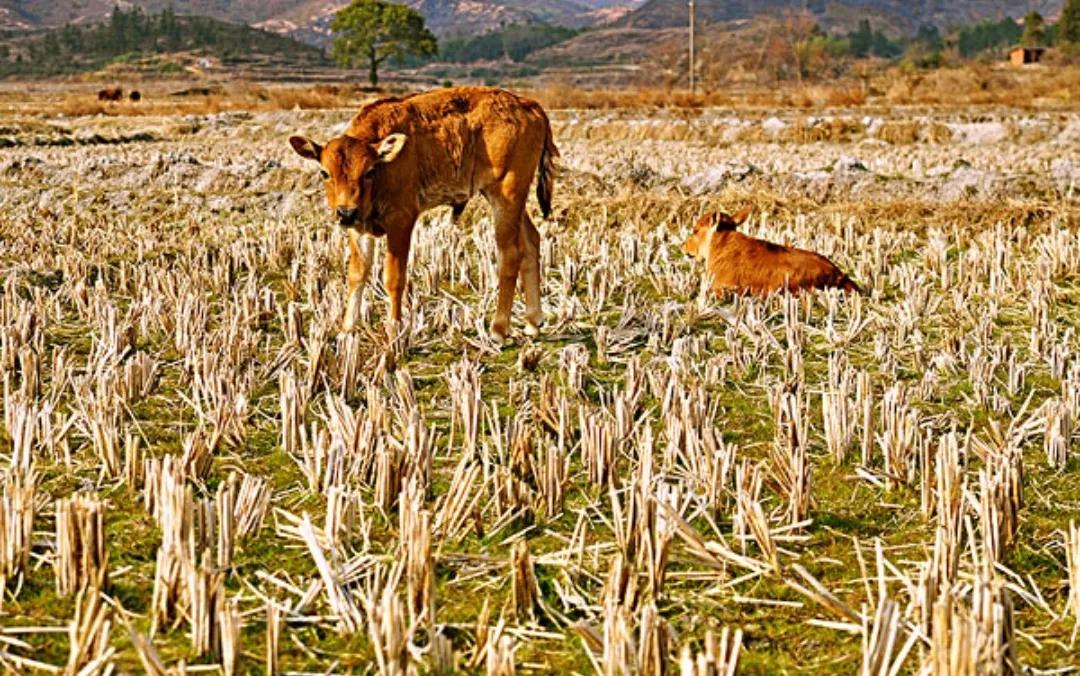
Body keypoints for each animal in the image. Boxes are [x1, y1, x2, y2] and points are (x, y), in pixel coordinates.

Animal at [287, 86, 557, 339]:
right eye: (324, 173)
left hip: (506, 195)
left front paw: (394, 331)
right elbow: (357, 274)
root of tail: (527, 105)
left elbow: (394, 279)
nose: (345, 213)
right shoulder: (359, 227)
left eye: (369, 171)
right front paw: (347, 330)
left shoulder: (401, 221)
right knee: (531, 241)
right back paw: (533, 321)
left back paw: (499, 328)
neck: (386, 164)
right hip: (509, 200)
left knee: (510, 253)